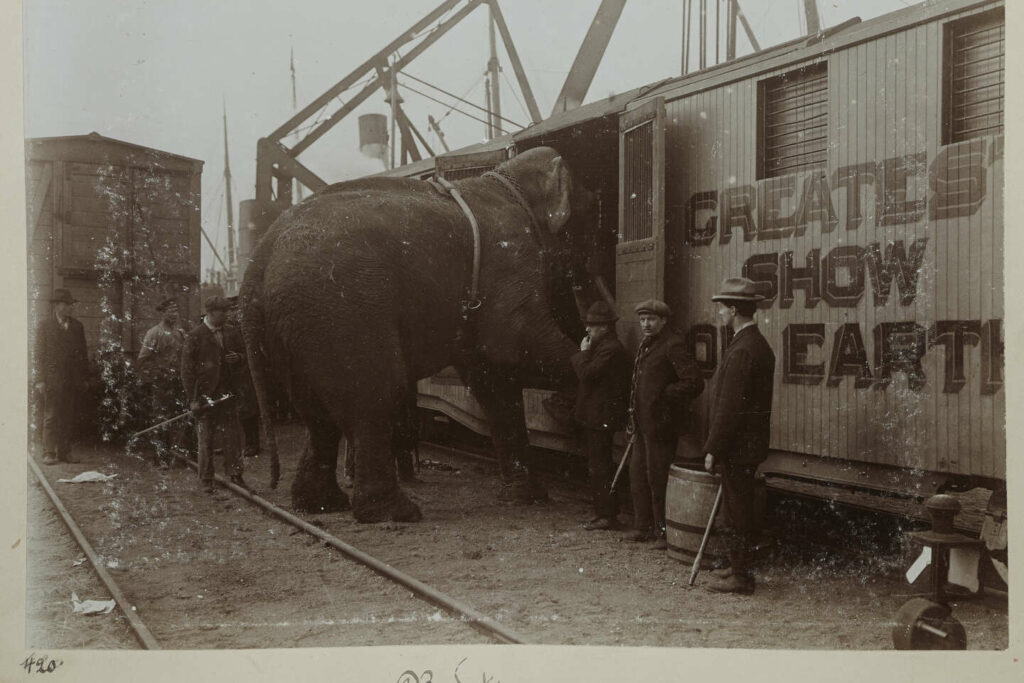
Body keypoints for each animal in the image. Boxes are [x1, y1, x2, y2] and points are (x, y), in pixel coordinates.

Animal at [239, 147, 589, 520]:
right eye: (592, 205)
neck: (507, 179)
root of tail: (259, 258)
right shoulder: (509, 255)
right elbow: (515, 342)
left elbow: (493, 378)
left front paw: (527, 497)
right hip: (340, 308)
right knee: (378, 392)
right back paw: (395, 512)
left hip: (293, 322)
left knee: (317, 412)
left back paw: (320, 504)